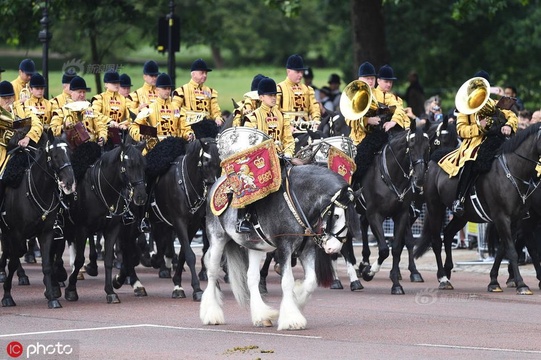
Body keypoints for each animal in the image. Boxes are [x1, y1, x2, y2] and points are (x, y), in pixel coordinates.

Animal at [0, 131, 76, 308]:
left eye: (70, 153)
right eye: (55, 156)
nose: (69, 182)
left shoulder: (46, 233)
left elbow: (47, 265)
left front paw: (52, 297)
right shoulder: (16, 233)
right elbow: (12, 263)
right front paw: (7, 296)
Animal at [63, 142, 147, 302]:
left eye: (143, 165)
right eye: (128, 166)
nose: (140, 196)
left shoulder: (114, 229)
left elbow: (111, 259)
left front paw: (111, 290)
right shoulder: (82, 228)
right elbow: (79, 259)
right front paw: (71, 289)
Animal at [412, 122, 540, 294]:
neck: (513, 171)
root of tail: (434, 160)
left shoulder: (515, 220)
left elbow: (503, 250)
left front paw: (494, 281)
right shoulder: (502, 217)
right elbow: (511, 251)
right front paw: (521, 284)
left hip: (463, 215)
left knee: (448, 233)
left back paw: (447, 270)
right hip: (435, 207)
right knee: (436, 241)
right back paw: (443, 278)